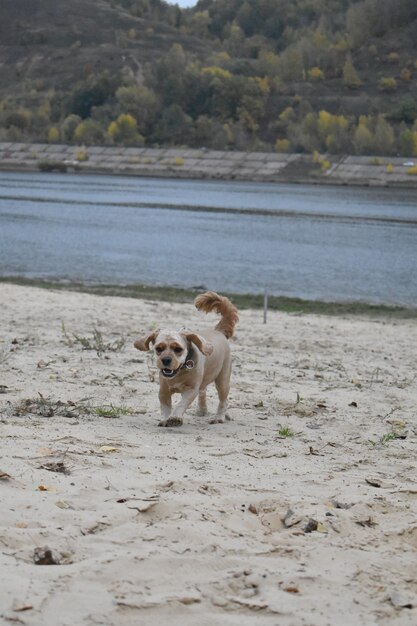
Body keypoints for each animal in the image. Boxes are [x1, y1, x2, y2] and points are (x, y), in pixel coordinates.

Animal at [133, 292, 237, 426]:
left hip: (222, 380)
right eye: (158, 348)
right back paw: (202, 411)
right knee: (203, 392)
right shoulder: (164, 391)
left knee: (223, 400)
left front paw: (175, 417)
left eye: (178, 349)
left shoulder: (191, 390)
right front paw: (165, 419)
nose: (166, 360)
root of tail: (219, 331)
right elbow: (165, 407)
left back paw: (220, 417)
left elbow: (181, 404)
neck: (179, 372)